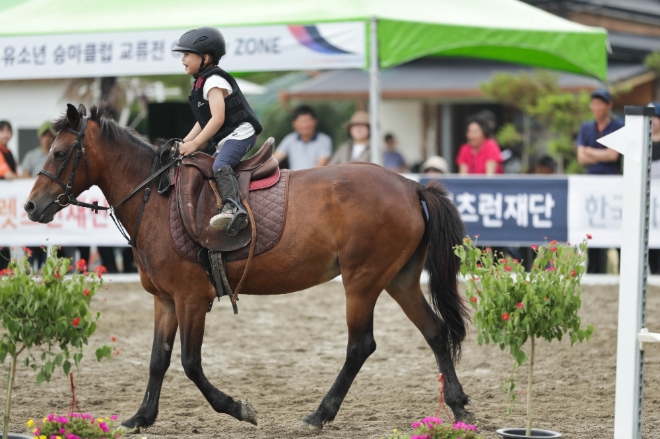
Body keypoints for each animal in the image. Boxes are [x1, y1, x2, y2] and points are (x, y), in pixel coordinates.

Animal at [23, 105, 472, 434]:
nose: (30, 206)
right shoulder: (165, 301)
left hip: (362, 281)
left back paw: (319, 415)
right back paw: (458, 407)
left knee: (361, 345)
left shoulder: (190, 298)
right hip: (398, 279)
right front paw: (141, 418)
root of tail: (412, 185)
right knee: (435, 332)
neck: (157, 196)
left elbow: (190, 363)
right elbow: (157, 361)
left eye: (59, 153)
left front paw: (237, 408)